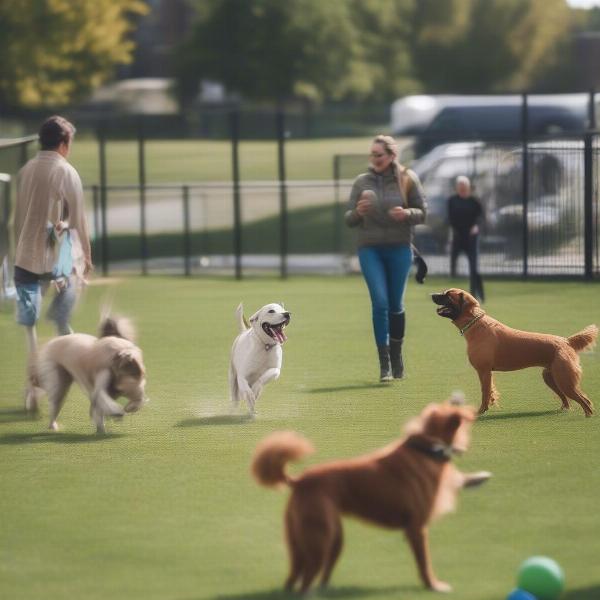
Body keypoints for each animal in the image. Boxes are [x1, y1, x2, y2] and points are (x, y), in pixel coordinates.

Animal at [251, 400, 490, 592]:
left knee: (297, 578)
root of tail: (299, 480)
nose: (467, 407)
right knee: (306, 582)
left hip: (319, 540)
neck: (426, 448)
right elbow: (425, 563)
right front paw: (433, 585)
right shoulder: (417, 529)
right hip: (319, 539)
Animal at [432, 288, 596, 414]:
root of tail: (566, 341)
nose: (431, 294)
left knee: (585, 401)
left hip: (565, 381)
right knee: (569, 399)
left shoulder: (484, 371)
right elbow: (490, 391)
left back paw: (587, 416)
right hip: (551, 378)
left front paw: (481, 411)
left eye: (448, 295)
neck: (476, 325)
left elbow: (485, 392)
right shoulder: (486, 373)